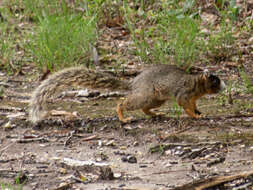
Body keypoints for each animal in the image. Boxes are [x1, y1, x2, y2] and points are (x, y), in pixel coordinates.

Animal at [28, 64, 226, 123]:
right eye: (215, 81)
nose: (224, 86)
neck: (196, 84)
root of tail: (134, 83)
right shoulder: (185, 93)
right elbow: (185, 106)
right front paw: (195, 116)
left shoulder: (193, 97)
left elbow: (193, 105)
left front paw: (200, 112)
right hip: (145, 96)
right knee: (124, 103)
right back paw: (123, 117)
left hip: (155, 99)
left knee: (146, 109)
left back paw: (156, 114)